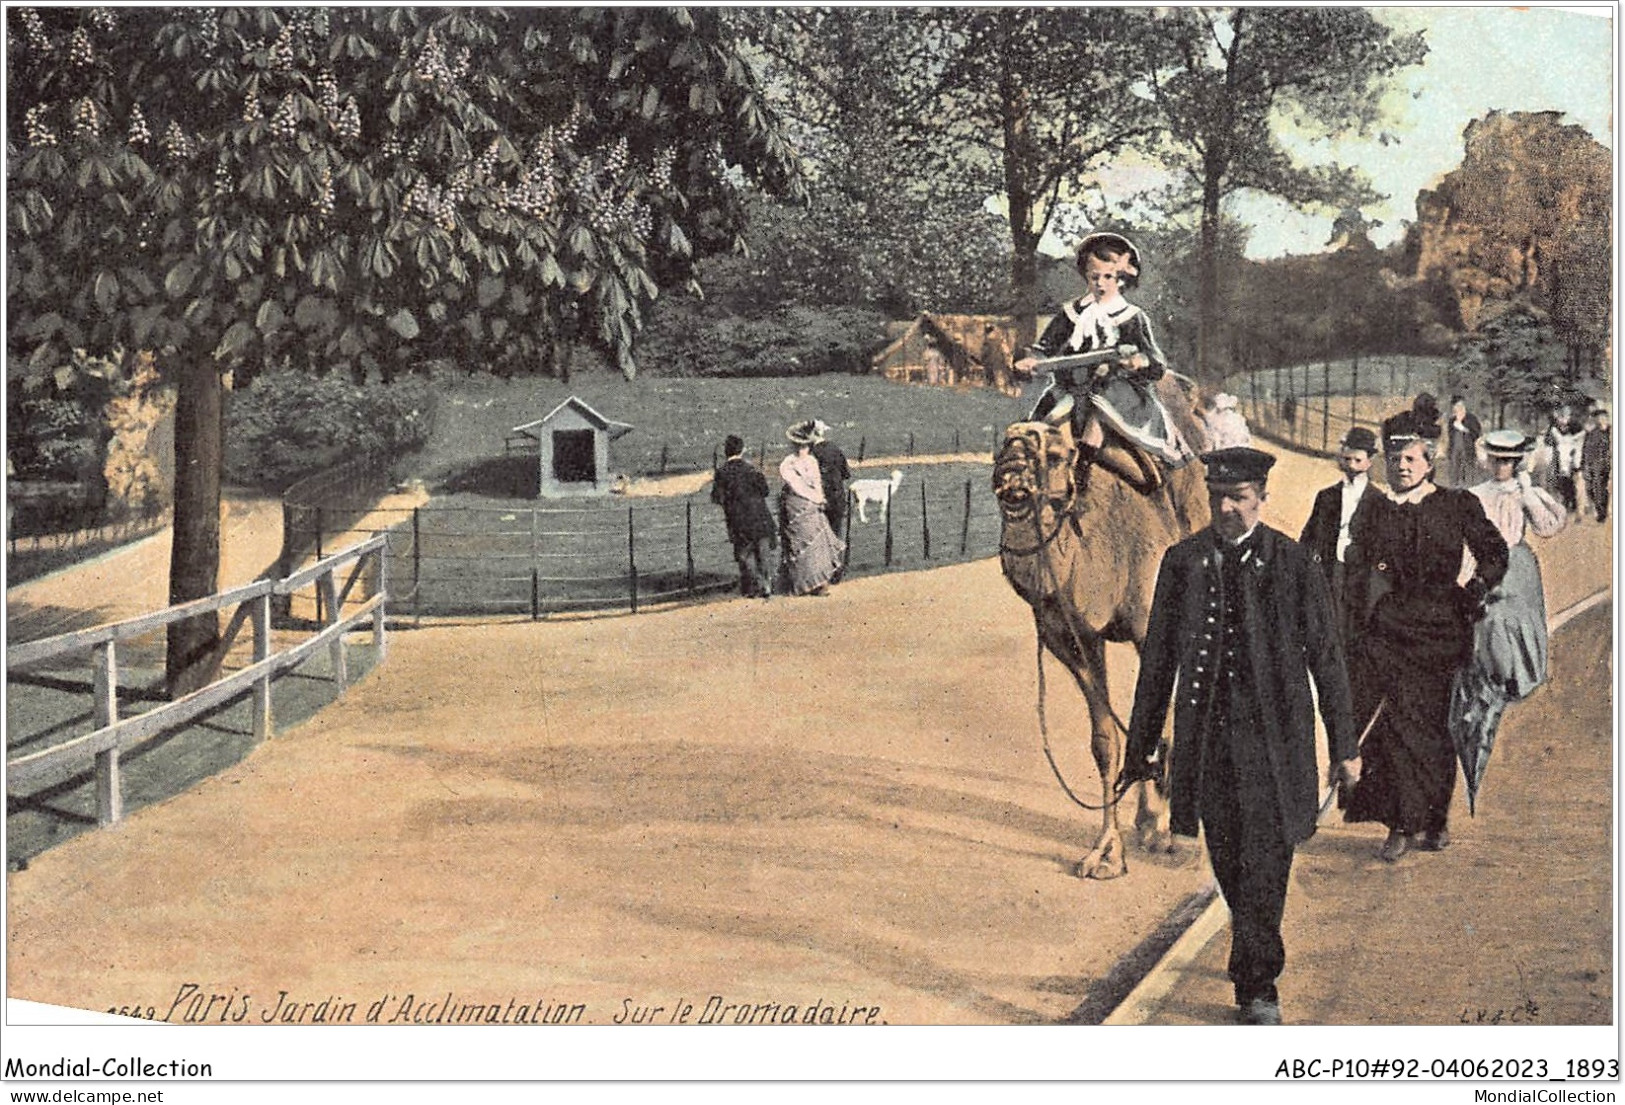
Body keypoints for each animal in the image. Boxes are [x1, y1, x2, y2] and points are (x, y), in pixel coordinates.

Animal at [988, 401, 1209, 877]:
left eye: (1055, 456)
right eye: (1001, 448)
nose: (1014, 459)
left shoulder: (1150, 627)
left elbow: (1156, 717)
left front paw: (1167, 832)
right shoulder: (1076, 641)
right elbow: (1106, 741)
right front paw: (1107, 850)